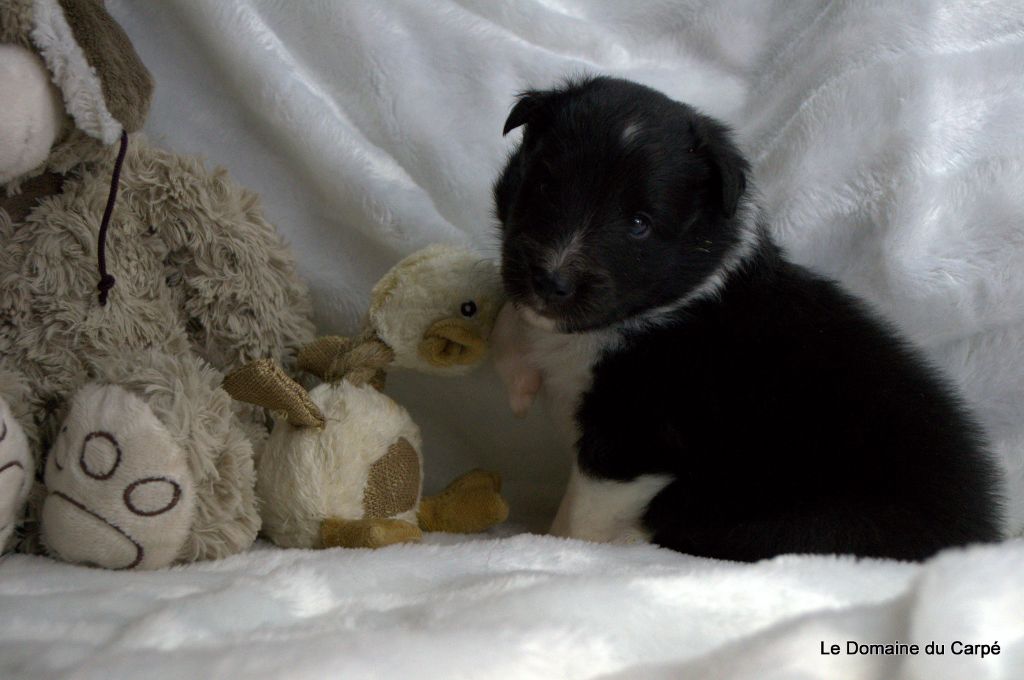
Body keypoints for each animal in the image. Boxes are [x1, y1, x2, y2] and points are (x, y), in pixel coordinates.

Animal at [492, 75, 1003, 561]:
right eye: (545, 186)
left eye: (639, 224)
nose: (551, 282)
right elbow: (510, 316)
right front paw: (517, 378)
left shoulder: (635, 436)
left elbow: (583, 517)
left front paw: (556, 545)